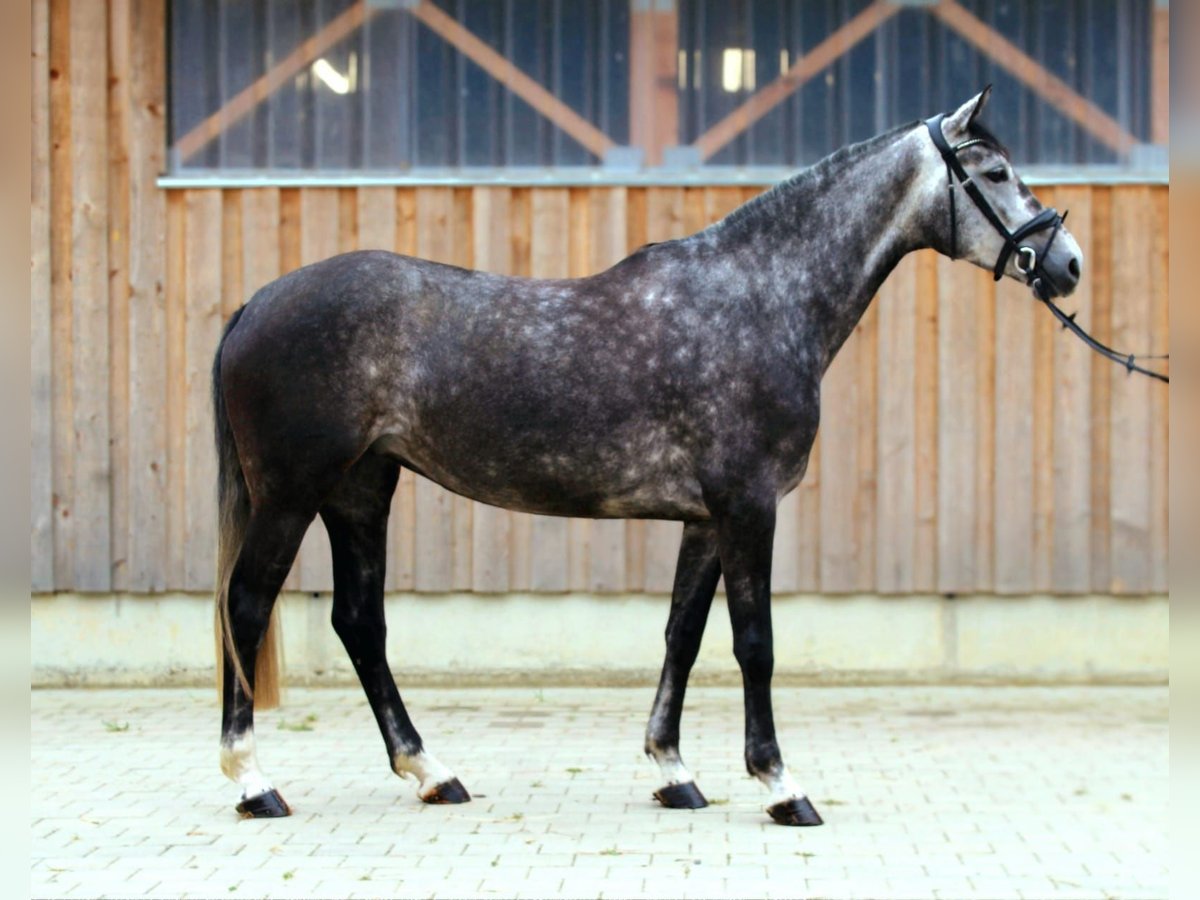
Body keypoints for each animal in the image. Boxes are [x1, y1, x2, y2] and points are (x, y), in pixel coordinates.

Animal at [211, 88, 1084, 830]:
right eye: (995, 173)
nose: (1067, 263)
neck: (758, 299)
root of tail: (255, 303)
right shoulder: (748, 507)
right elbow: (755, 643)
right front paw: (780, 785)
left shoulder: (705, 519)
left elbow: (682, 637)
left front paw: (674, 773)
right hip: (291, 494)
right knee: (246, 605)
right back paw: (255, 783)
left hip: (360, 490)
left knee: (359, 621)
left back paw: (433, 773)